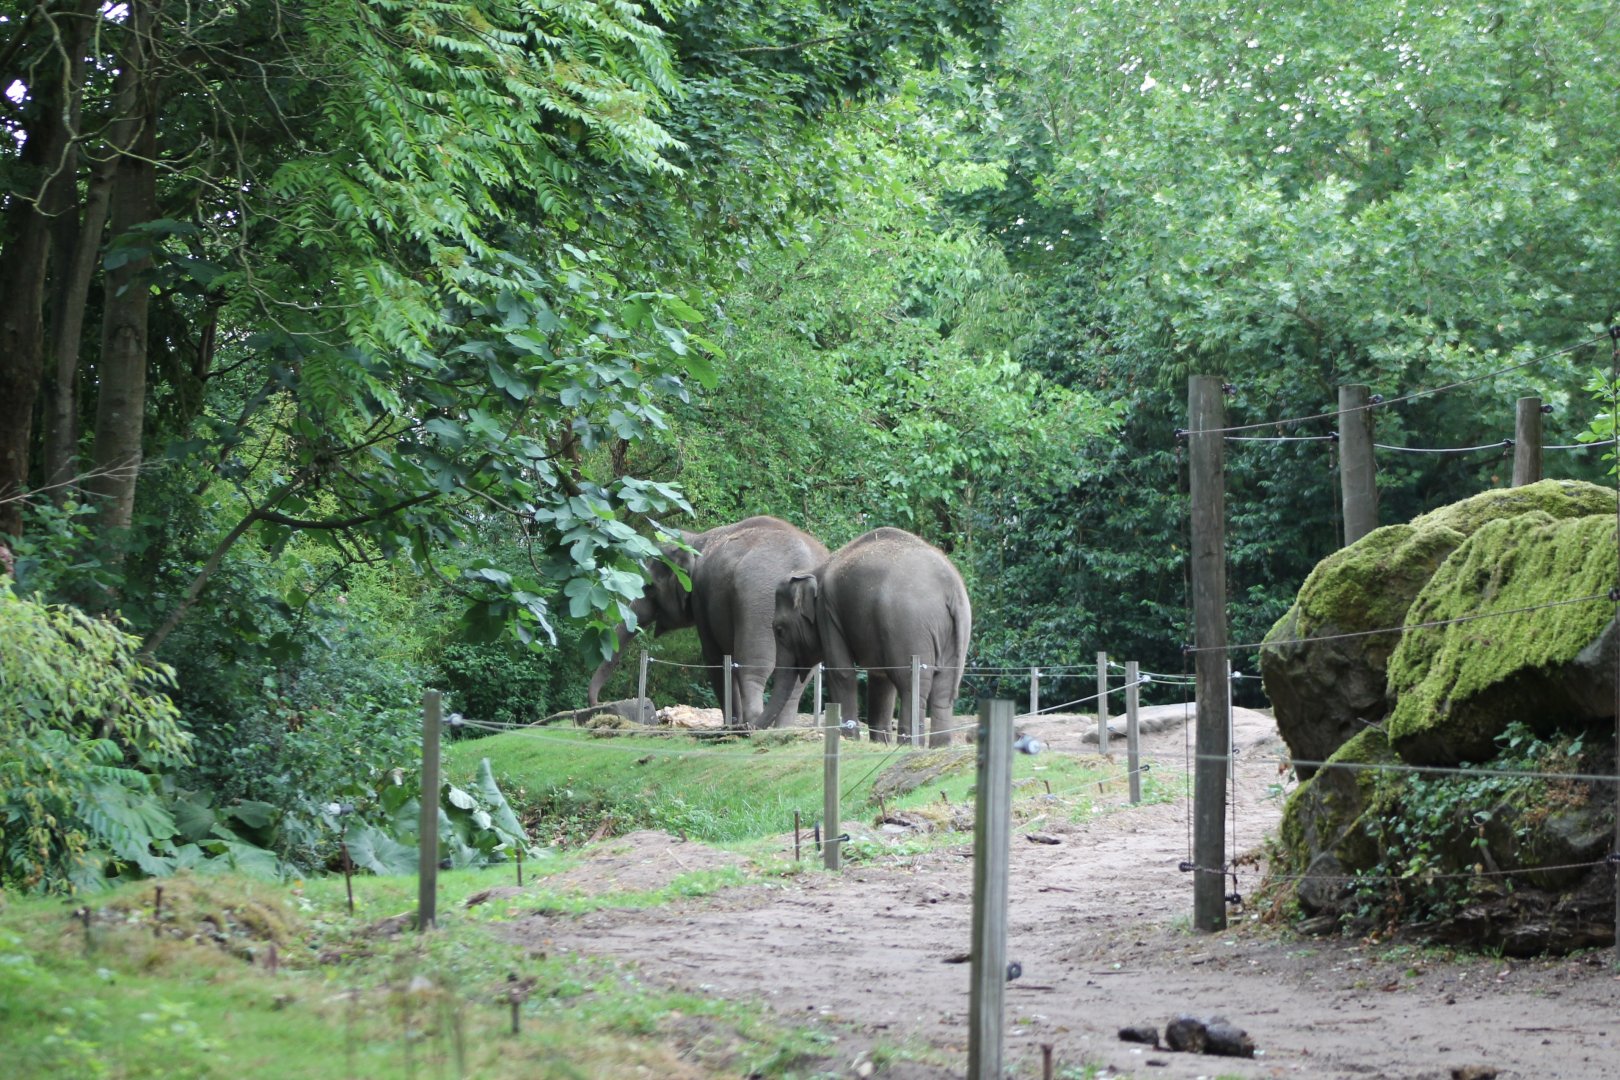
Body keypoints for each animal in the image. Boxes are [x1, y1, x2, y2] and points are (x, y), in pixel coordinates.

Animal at [588, 516, 830, 729]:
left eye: (649, 587)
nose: (599, 704)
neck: (697, 539)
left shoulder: (701, 595)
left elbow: (715, 658)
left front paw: (730, 724)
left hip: (757, 601)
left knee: (753, 666)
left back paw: (750, 724)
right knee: (797, 678)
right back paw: (780, 728)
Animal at [772, 527, 972, 747]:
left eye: (779, 630)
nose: (753, 730)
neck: (814, 571)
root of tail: (952, 587)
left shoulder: (827, 610)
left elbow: (841, 672)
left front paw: (848, 738)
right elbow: (880, 678)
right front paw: (879, 743)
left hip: (908, 626)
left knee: (910, 684)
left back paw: (908, 744)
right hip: (953, 631)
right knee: (942, 689)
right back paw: (939, 746)